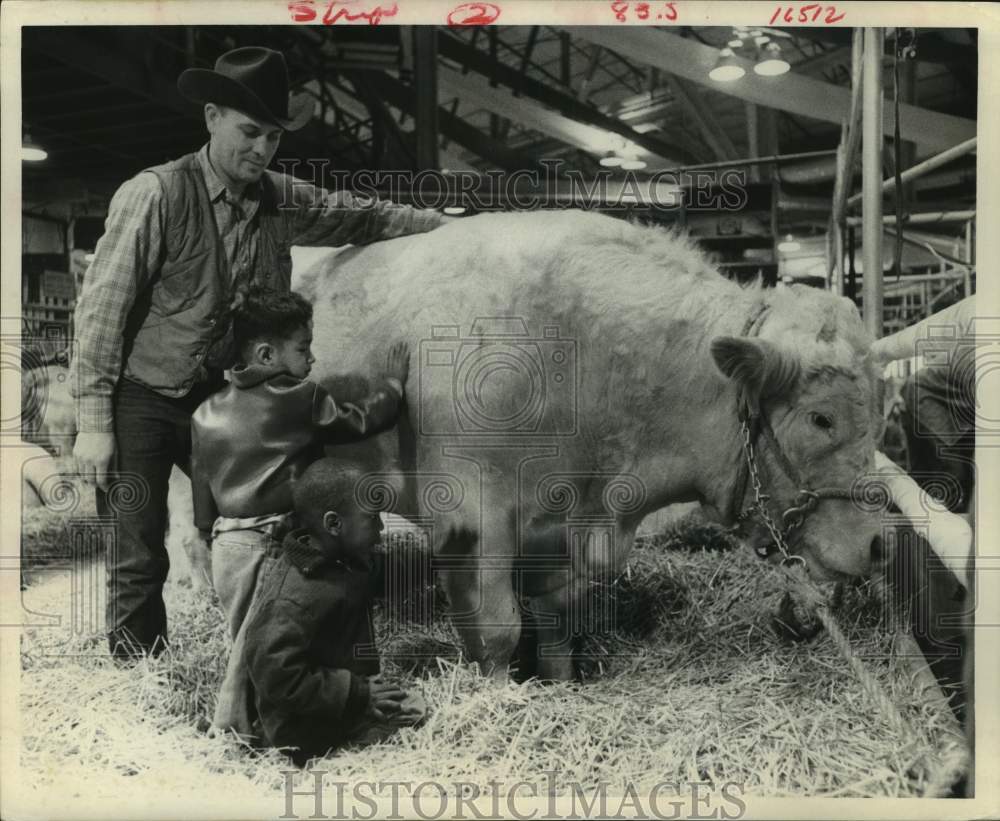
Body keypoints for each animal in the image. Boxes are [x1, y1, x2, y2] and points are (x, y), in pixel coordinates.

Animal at [297, 210, 887, 681]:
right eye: (821, 418)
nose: (879, 543)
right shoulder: (471, 511)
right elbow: (498, 630)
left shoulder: (562, 525)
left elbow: (558, 622)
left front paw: (560, 684)